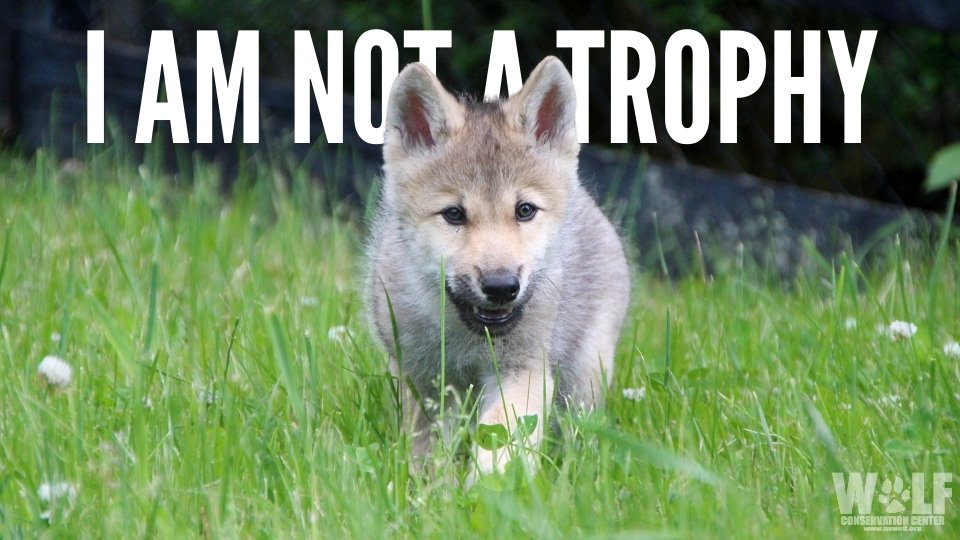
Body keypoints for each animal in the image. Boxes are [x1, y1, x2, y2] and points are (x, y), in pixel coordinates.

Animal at [366, 56, 630, 478]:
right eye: (453, 214)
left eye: (524, 210)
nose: (502, 287)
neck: (466, 339)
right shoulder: (421, 379)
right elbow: (425, 447)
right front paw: (428, 484)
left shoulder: (524, 370)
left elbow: (501, 437)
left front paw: (487, 489)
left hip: (586, 373)